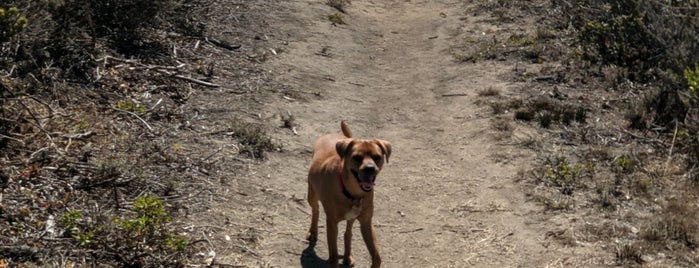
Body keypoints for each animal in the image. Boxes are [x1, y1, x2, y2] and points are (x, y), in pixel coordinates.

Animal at [306, 122, 392, 268]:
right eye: (357, 157)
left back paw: (347, 256)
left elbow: (377, 257)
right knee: (315, 210)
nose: (370, 168)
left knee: (348, 233)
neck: (352, 192)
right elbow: (334, 256)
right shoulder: (332, 223)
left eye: (377, 157)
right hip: (312, 195)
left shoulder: (366, 223)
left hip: (352, 218)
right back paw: (313, 231)